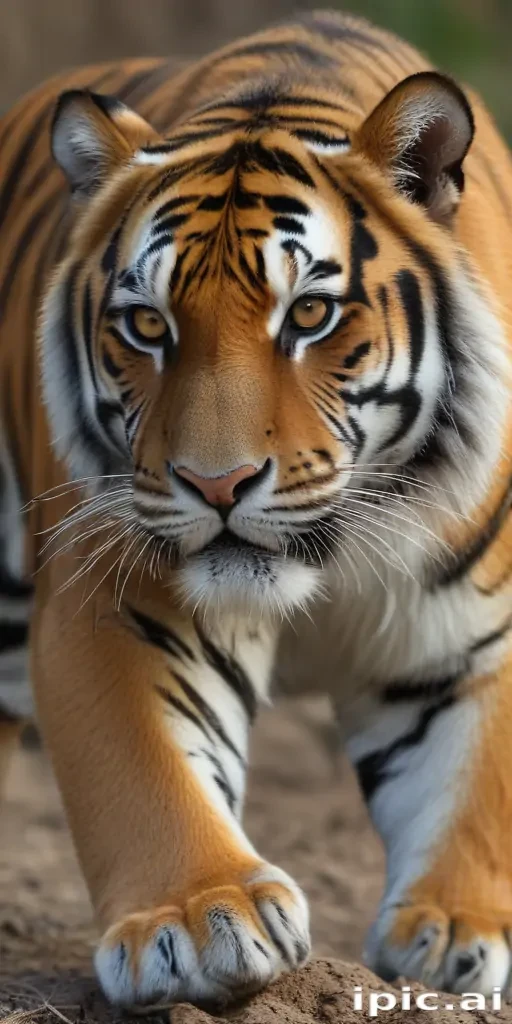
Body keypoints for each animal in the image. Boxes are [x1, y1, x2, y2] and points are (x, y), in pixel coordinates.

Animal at [1, 4, 512, 1006]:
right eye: (147, 326)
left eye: (309, 315)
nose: (216, 484)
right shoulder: (113, 600)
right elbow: (144, 767)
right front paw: (199, 919)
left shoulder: (478, 630)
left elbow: (477, 786)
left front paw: (454, 930)